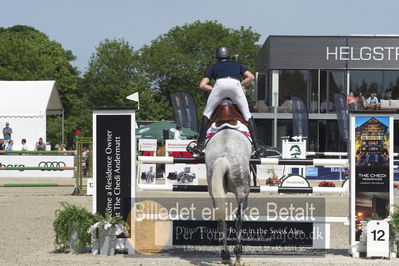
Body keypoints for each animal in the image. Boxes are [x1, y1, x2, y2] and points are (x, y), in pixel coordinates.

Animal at [205, 127, 252, 264]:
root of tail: (224, 158)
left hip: (214, 188)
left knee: (221, 221)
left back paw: (225, 255)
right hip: (242, 190)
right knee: (239, 220)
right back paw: (238, 256)